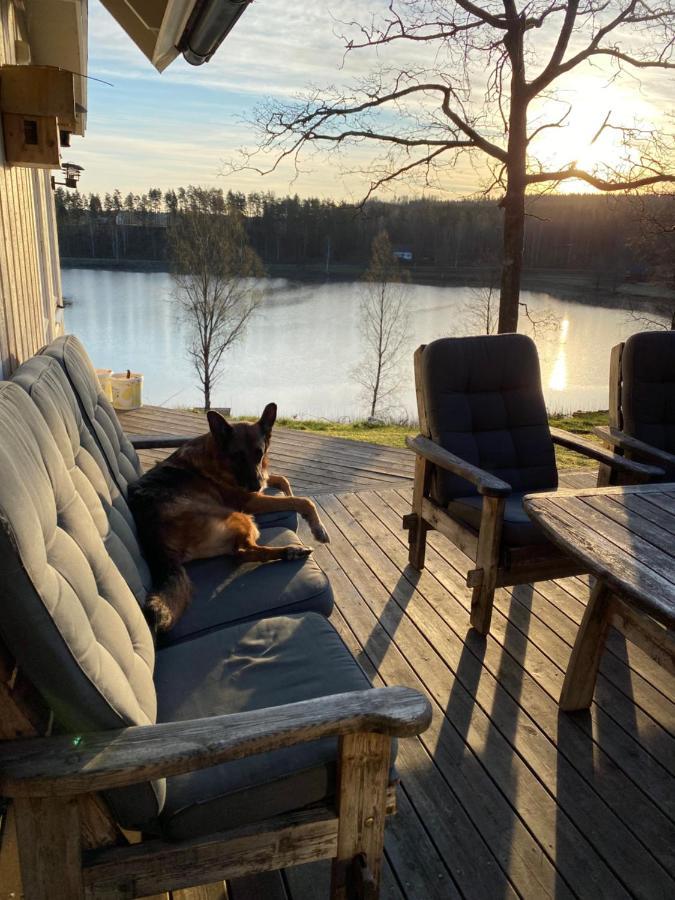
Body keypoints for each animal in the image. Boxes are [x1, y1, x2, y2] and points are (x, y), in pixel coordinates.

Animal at [129, 404, 330, 628]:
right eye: (237, 456)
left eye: (259, 453)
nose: (255, 486)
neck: (218, 456)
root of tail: (153, 539)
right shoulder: (252, 501)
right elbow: (304, 501)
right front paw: (318, 527)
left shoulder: (263, 480)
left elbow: (283, 480)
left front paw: (289, 494)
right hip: (242, 517)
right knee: (243, 552)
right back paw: (292, 551)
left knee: (242, 552)